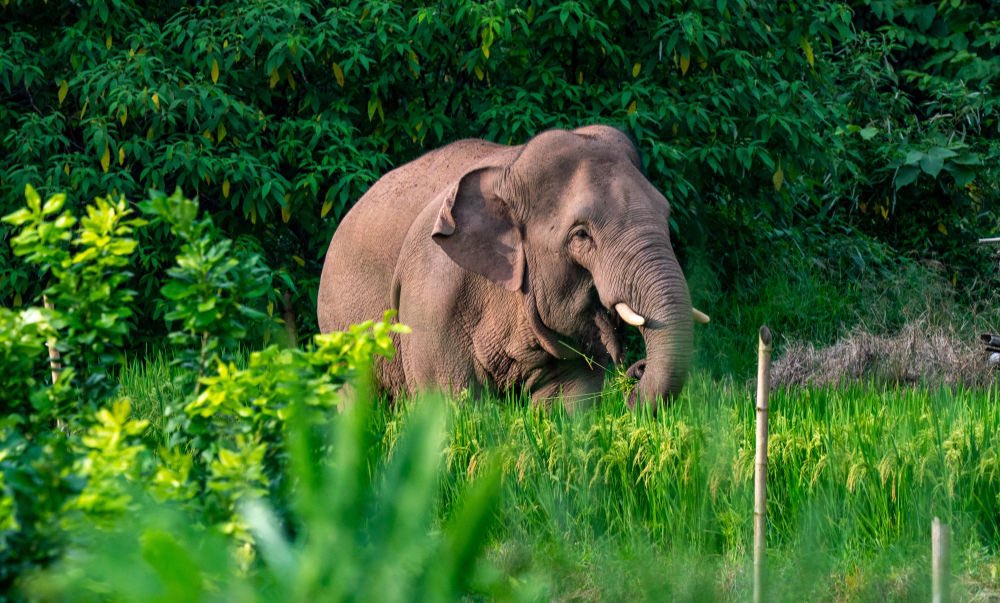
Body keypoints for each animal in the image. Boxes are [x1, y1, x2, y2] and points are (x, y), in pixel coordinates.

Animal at [317, 125, 707, 412]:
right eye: (582, 235)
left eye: (665, 214)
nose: (636, 371)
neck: (511, 170)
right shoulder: (432, 296)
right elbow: (448, 403)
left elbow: (569, 400)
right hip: (342, 330)